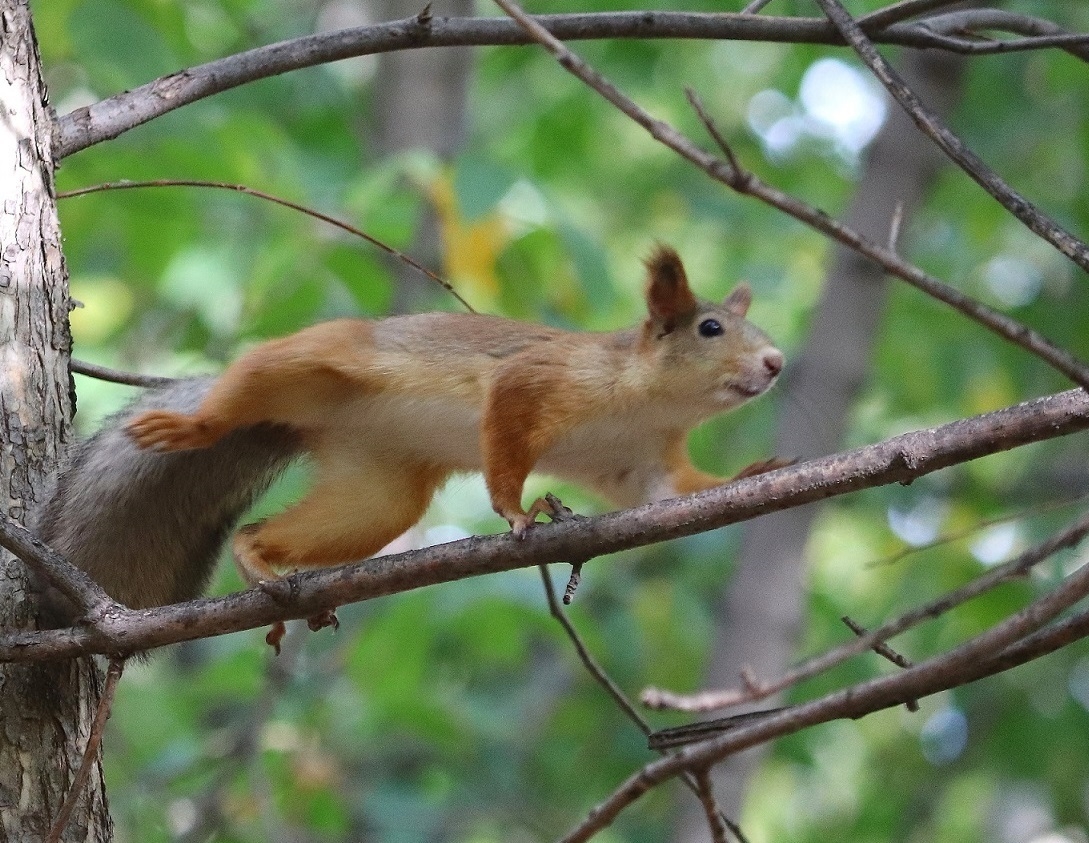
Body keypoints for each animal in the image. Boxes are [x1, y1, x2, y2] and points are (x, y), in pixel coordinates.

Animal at [34, 247, 784, 644]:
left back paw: (260, 559)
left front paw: (752, 471)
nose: (776, 363)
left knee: (273, 526)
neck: (650, 399)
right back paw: (193, 428)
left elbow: (675, 490)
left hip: (376, 494)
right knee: (246, 387)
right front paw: (518, 514)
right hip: (317, 358)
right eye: (710, 328)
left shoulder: (640, 465)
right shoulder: (534, 380)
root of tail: (308, 421)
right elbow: (504, 444)